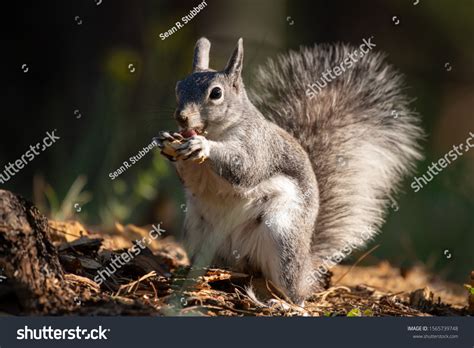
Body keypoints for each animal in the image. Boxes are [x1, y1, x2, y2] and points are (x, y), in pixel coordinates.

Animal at [155, 37, 422, 304]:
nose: (181, 117)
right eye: (179, 86)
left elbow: (246, 168)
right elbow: (189, 179)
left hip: (282, 233)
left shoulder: (259, 146)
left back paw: (283, 302)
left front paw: (202, 146)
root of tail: (307, 269)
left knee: (295, 292)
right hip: (197, 231)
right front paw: (166, 141)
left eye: (216, 93)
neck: (217, 132)